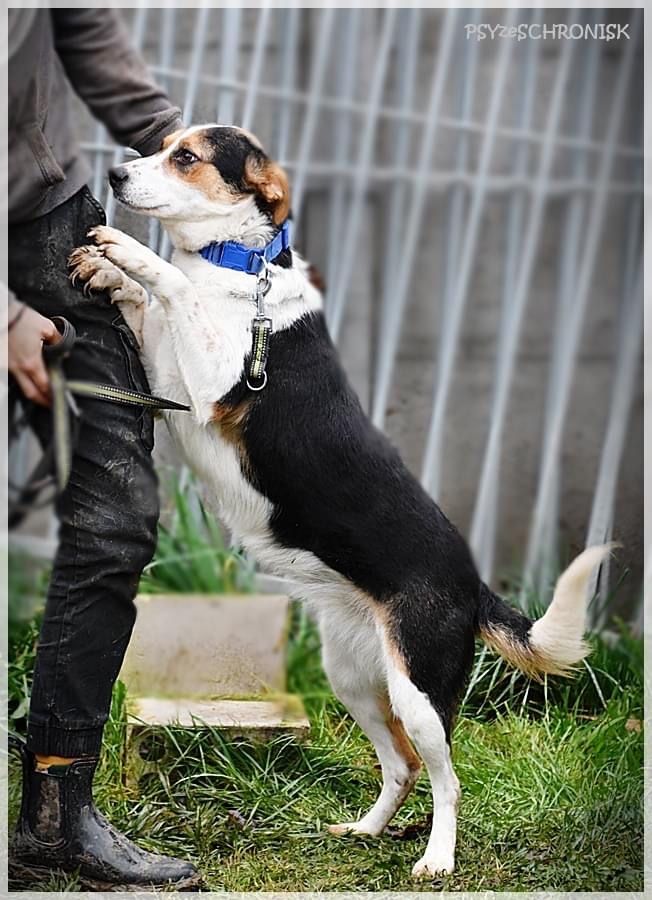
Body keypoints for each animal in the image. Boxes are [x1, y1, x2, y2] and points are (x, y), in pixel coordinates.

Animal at [70, 126, 612, 880]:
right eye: (164, 145)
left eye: (187, 157)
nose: (117, 175)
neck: (240, 267)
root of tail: (473, 585)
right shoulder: (170, 376)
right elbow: (153, 307)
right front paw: (111, 273)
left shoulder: (208, 382)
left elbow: (172, 286)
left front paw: (128, 252)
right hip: (352, 676)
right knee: (401, 767)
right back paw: (366, 830)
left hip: (419, 690)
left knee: (447, 778)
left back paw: (436, 860)